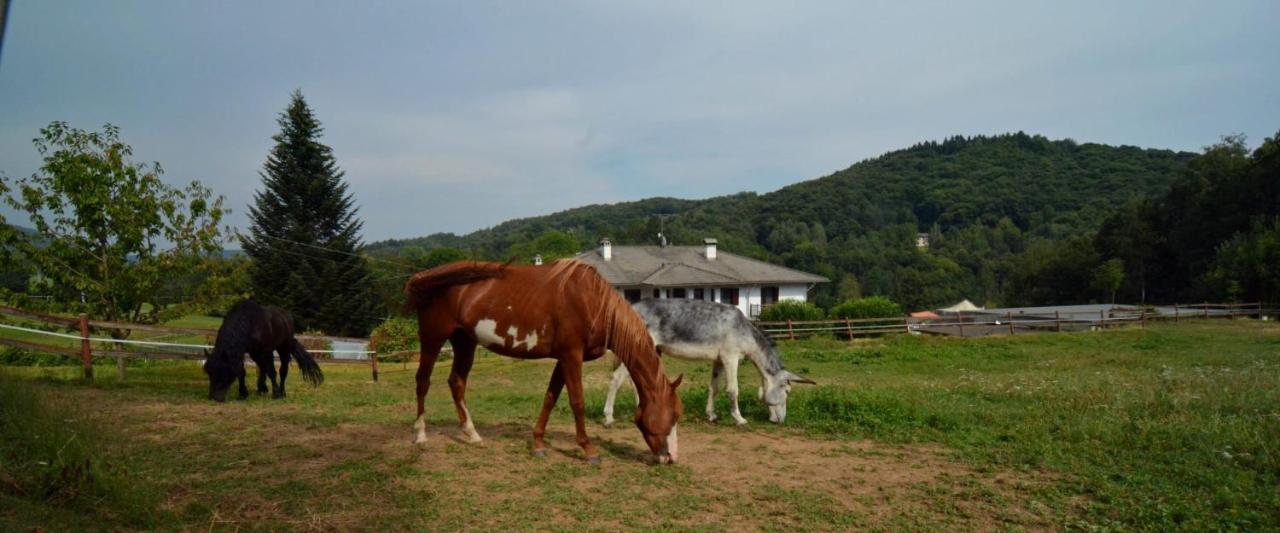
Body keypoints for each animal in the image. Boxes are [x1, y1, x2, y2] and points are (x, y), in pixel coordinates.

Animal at [404, 260, 686, 463]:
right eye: (674, 415)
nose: (671, 457)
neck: (591, 301)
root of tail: (426, 276)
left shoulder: (563, 358)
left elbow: (550, 398)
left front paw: (538, 443)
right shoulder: (571, 356)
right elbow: (577, 402)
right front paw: (588, 449)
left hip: (465, 342)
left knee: (457, 383)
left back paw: (471, 434)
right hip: (432, 338)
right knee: (422, 382)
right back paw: (419, 434)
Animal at [604, 299, 814, 425]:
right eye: (788, 391)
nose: (781, 420)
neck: (744, 331)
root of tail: (630, 307)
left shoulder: (719, 360)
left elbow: (714, 388)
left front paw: (711, 415)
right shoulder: (731, 358)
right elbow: (733, 390)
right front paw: (739, 419)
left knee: (634, 379)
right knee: (616, 379)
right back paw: (608, 417)